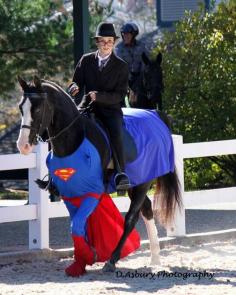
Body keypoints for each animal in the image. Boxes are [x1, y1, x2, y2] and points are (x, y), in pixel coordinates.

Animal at [16, 76, 182, 278]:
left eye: (38, 109)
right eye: (21, 107)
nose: (22, 146)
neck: (74, 141)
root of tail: (156, 115)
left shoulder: (92, 193)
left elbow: (78, 225)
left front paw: (89, 256)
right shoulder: (70, 193)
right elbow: (77, 226)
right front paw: (81, 261)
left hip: (143, 183)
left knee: (131, 218)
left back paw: (112, 260)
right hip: (137, 184)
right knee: (147, 210)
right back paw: (155, 260)